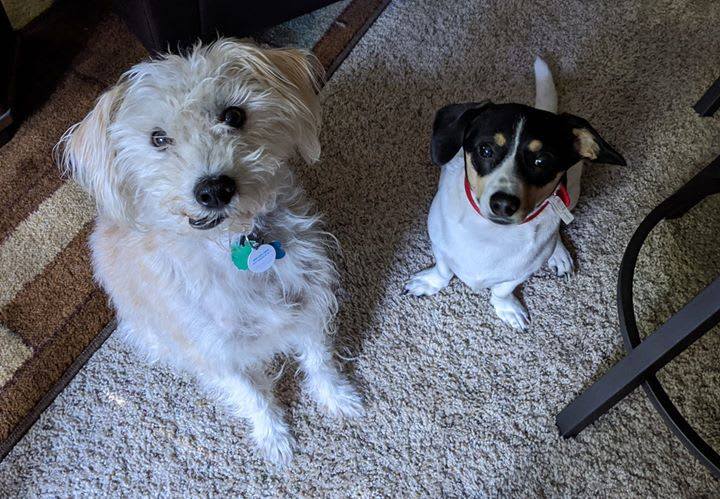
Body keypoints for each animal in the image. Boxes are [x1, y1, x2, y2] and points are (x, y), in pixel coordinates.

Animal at [57, 39, 363, 465]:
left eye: (233, 115)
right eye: (158, 139)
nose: (214, 189)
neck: (235, 243)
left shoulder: (309, 303)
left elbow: (320, 361)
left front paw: (336, 398)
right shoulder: (216, 352)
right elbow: (252, 396)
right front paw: (275, 438)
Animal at [405, 58, 626, 330]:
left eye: (542, 160)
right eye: (486, 150)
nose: (503, 204)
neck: (490, 235)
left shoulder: (520, 272)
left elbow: (502, 290)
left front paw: (507, 307)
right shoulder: (439, 244)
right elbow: (443, 270)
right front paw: (430, 282)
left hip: (571, 193)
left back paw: (558, 253)